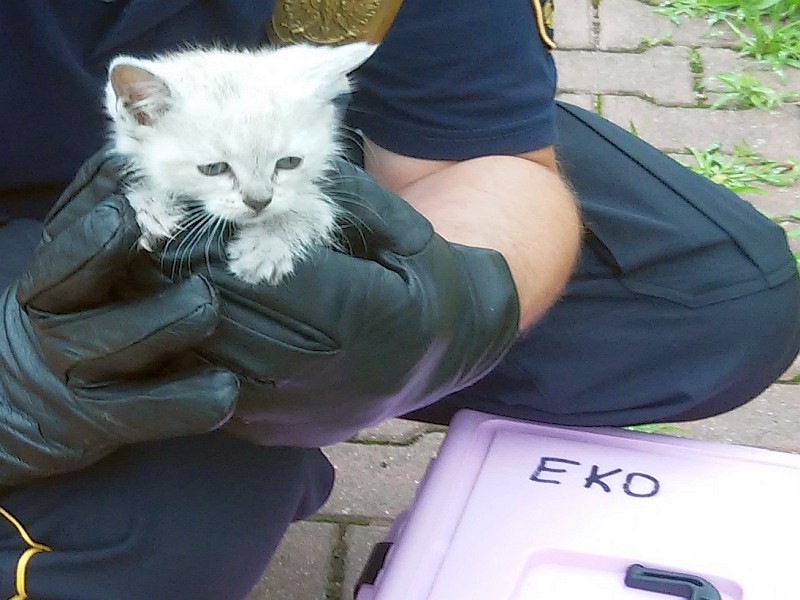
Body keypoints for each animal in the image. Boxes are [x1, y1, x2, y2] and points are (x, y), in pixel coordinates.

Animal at [104, 42, 376, 286]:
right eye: (213, 169)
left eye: (289, 162)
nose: (259, 202)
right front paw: (152, 208)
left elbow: (311, 208)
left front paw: (265, 246)